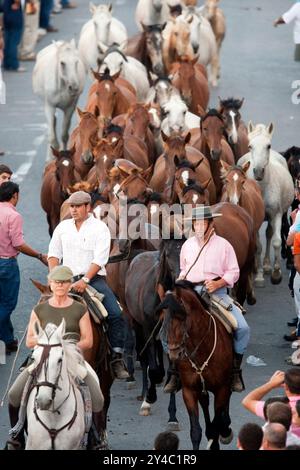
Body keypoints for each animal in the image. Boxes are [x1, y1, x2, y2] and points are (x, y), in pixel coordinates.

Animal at [158, 280, 233, 450]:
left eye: (181, 316)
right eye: (164, 317)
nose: (174, 353)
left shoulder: (221, 389)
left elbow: (216, 424)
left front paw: (221, 432)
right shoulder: (189, 390)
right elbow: (196, 431)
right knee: (205, 404)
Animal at [238, 124, 294, 286]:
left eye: (268, 146)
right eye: (250, 146)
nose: (258, 171)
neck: (261, 189)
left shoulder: (276, 214)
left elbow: (276, 241)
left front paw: (276, 273)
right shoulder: (254, 219)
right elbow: (258, 246)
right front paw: (258, 276)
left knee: (269, 234)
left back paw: (268, 265)